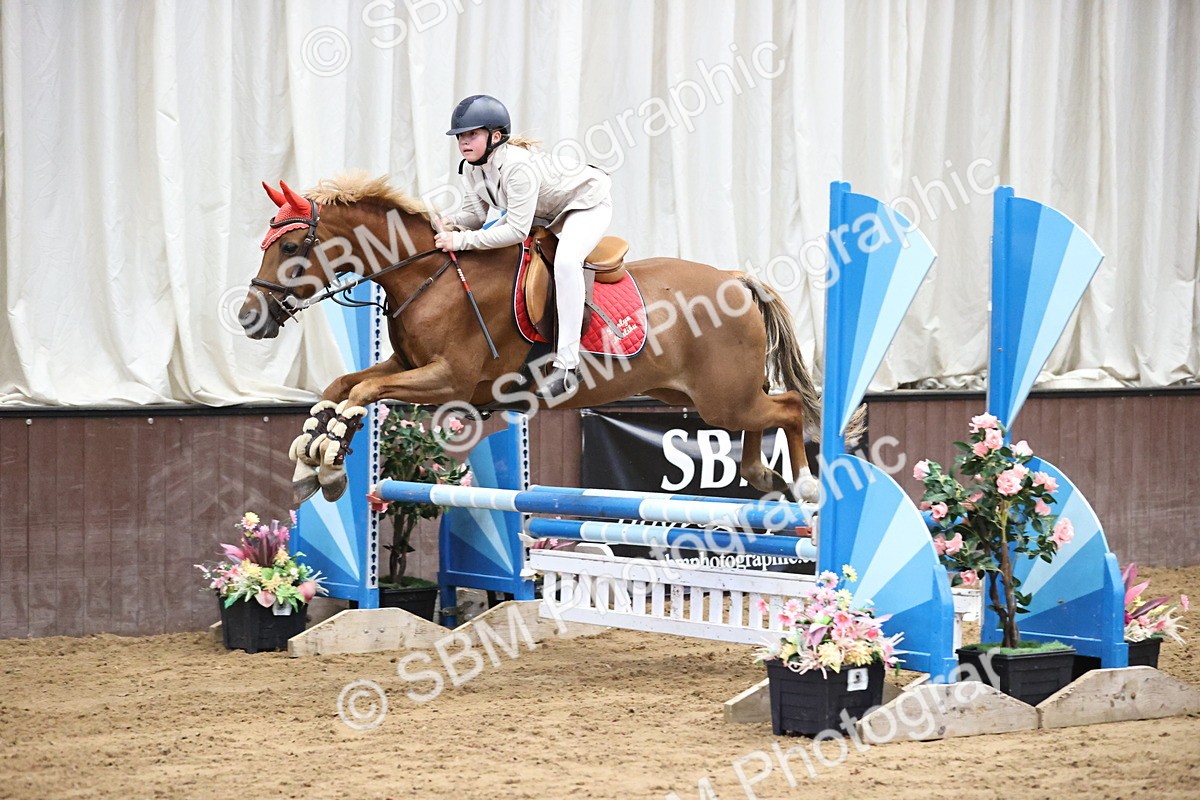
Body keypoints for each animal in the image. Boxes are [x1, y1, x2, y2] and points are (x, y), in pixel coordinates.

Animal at [240, 174, 858, 506]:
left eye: (291, 248)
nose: (248, 318)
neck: (427, 275)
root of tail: (736, 279)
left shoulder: (451, 382)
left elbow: (361, 394)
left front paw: (325, 463)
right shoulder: (404, 364)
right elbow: (342, 386)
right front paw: (314, 463)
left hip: (721, 397)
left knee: (788, 405)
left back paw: (806, 487)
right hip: (708, 398)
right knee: (762, 419)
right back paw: (766, 478)